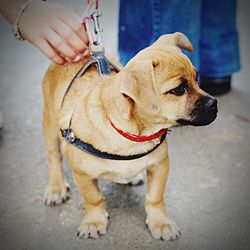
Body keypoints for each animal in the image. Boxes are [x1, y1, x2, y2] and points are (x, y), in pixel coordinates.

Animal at [42, 31, 217, 240]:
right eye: (178, 90)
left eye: (197, 78)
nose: (214, 103)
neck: (132, 135)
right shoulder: (82, 174)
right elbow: (94, 199)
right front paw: (94, 221)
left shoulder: (159, 165)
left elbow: (155, 198)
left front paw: (160, 222)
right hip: (50, 124)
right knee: (53, 156)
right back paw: (56, 188)